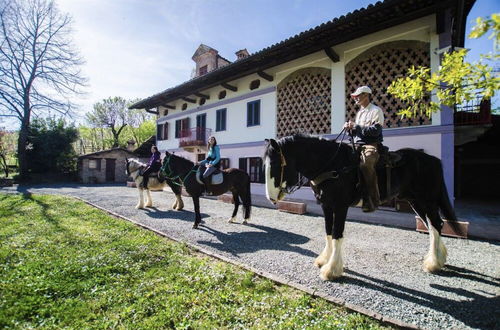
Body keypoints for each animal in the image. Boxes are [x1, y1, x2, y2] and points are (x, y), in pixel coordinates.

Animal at [264, 134, 462, 282]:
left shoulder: (340, 206)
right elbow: (328, 232)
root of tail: (433, 160)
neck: (332, 165)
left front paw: (331, 270)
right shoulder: (326, 206)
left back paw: (433, 263)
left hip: (426, 200)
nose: (271, 197)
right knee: (432, 225)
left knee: (435, 224)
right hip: (415, 201)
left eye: (275, 164)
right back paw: (437, 259)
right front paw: (324, 260)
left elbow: (337, 234)